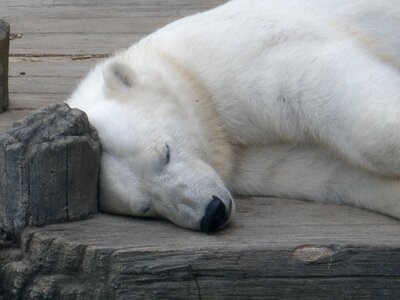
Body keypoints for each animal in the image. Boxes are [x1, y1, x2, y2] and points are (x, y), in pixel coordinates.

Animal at [68, 0, 400, 232]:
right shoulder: (242, 155)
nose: (212, 214)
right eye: (146, 207)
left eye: (165, 153)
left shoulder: (254, 56)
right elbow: (318, 169)